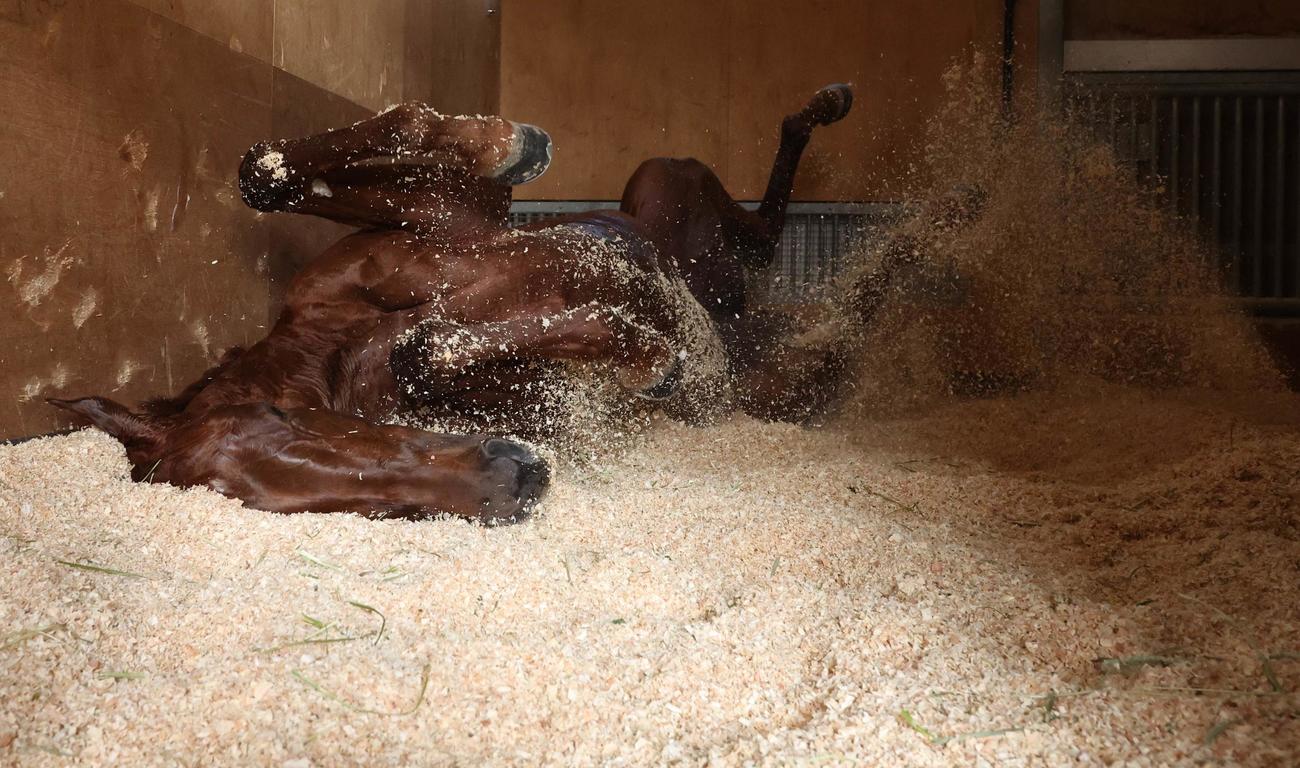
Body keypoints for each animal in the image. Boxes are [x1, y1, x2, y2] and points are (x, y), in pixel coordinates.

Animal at [49, 84, 857, 523]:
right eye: (313, 508)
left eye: (285, 419)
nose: (515, 479)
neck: (338, 348)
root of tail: (739, 321)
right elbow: (425, 349)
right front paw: (646, 353)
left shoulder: (457, 219)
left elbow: (268, 174)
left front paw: (512, 143)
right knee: (766, 255)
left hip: (663, 180)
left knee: (767, 227)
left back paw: (827, 110)